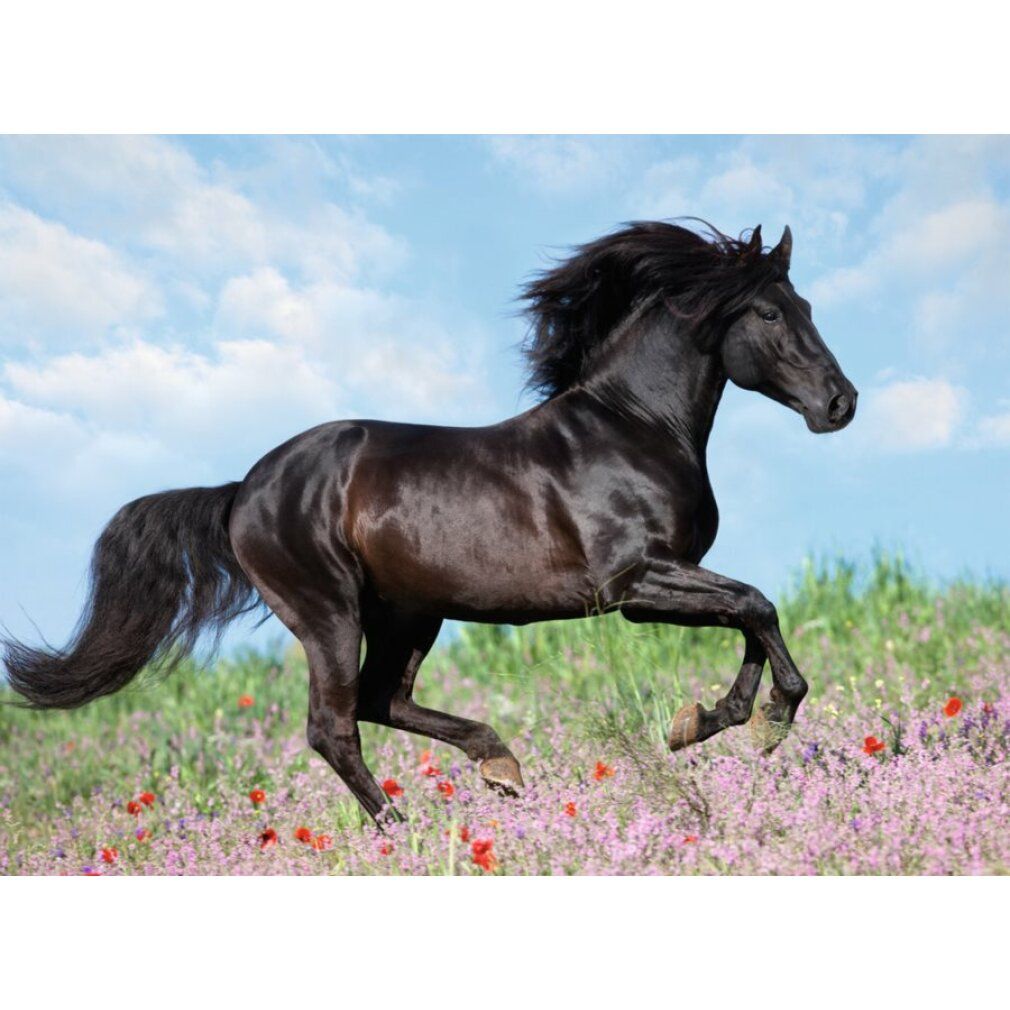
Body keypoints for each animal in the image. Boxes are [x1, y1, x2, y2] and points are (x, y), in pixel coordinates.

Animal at [4, 221, 857, 823]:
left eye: (809, 307)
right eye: (771, 311)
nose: (840, 403)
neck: (633, 426)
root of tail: (242, 490)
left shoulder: (667, 579)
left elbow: (748, 614)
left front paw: (709, 721)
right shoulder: (633, 584)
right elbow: (756, 606)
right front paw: (766, 720)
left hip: (411, 612)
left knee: (382, 700)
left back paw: (500, 765)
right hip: (329, 611)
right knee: (334, 724)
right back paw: (401, 828)